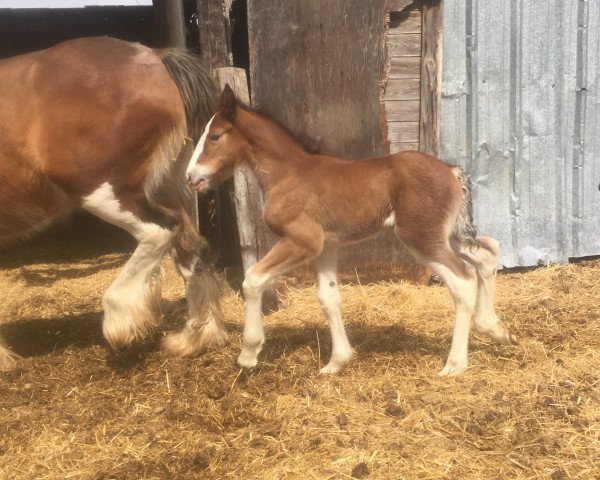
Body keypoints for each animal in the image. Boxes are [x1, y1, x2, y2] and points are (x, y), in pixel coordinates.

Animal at [188, 86, 516, 376]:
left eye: (215, 136)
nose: (191, 177)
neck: (288, 174)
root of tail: (450, 170)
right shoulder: (326, 246)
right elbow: (328, 297)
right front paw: (337, 362)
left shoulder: (302, 241)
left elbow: (253, 279)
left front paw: (248, 353)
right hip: (448, 235)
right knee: (488, 252)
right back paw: (495, 330)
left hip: (421, 238)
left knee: (463, 280)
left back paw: (455, 365)